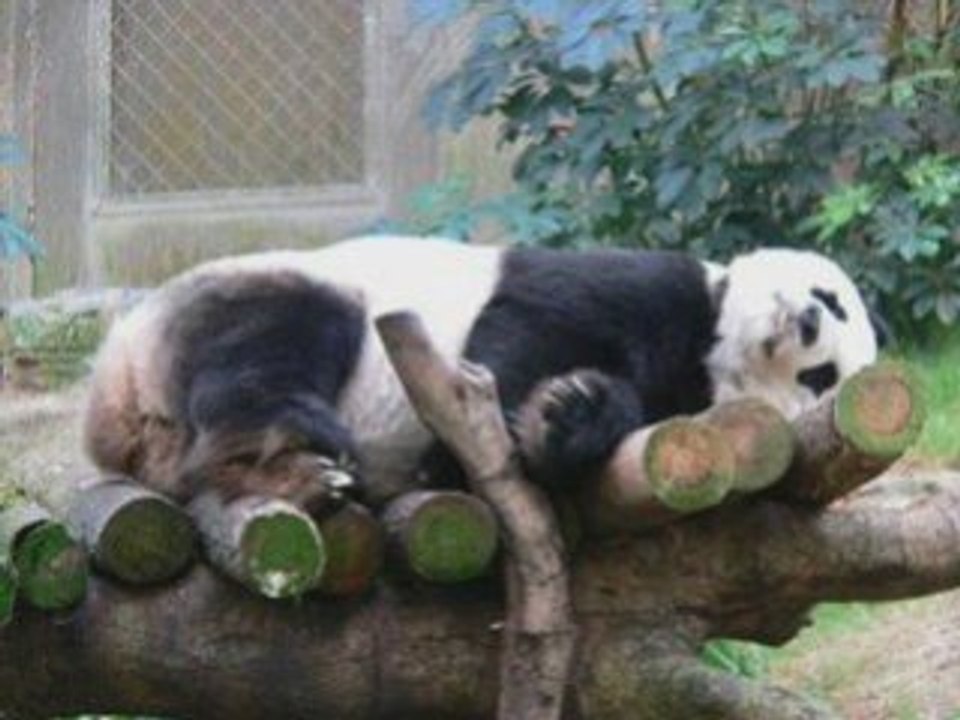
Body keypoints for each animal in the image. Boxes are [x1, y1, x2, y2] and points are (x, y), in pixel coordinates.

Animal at [84, 236, 881, 515]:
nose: (806, 318)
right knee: (277, 343)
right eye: (833, 297)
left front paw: (568, 414)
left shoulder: (679, 399)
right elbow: (523, 325)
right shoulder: (647, 282)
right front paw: (471, 440)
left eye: (823, 378)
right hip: (275, 288)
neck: (710, 353)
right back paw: (288, 442)